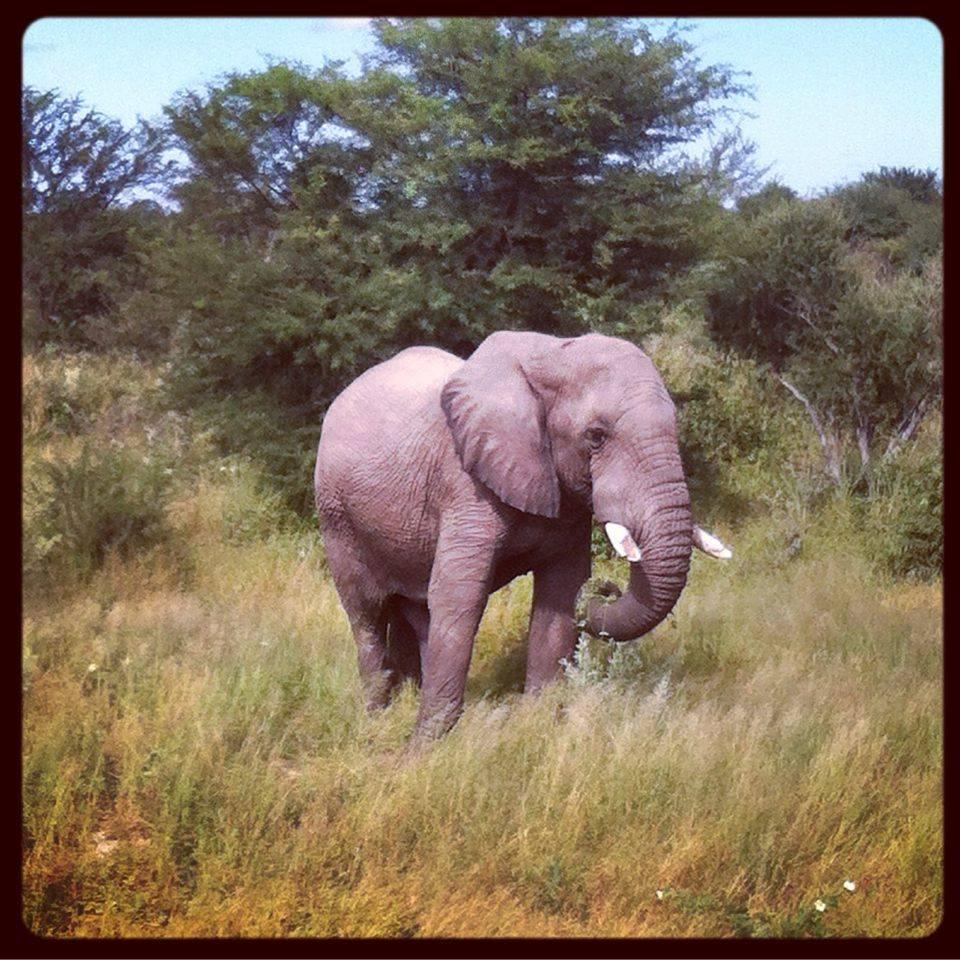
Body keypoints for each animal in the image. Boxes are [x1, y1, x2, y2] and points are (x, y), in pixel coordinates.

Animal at [316, 332, 728, 744]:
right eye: (596, 437)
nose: (606, 587)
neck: (551, 356)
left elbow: (560, 594)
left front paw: (537, 723)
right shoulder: (465, 485)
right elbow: (458, 595)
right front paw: (425, 746)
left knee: (413, 611)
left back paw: (405, 699)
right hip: (336, 516)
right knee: (367, 612)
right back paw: (377, 717)